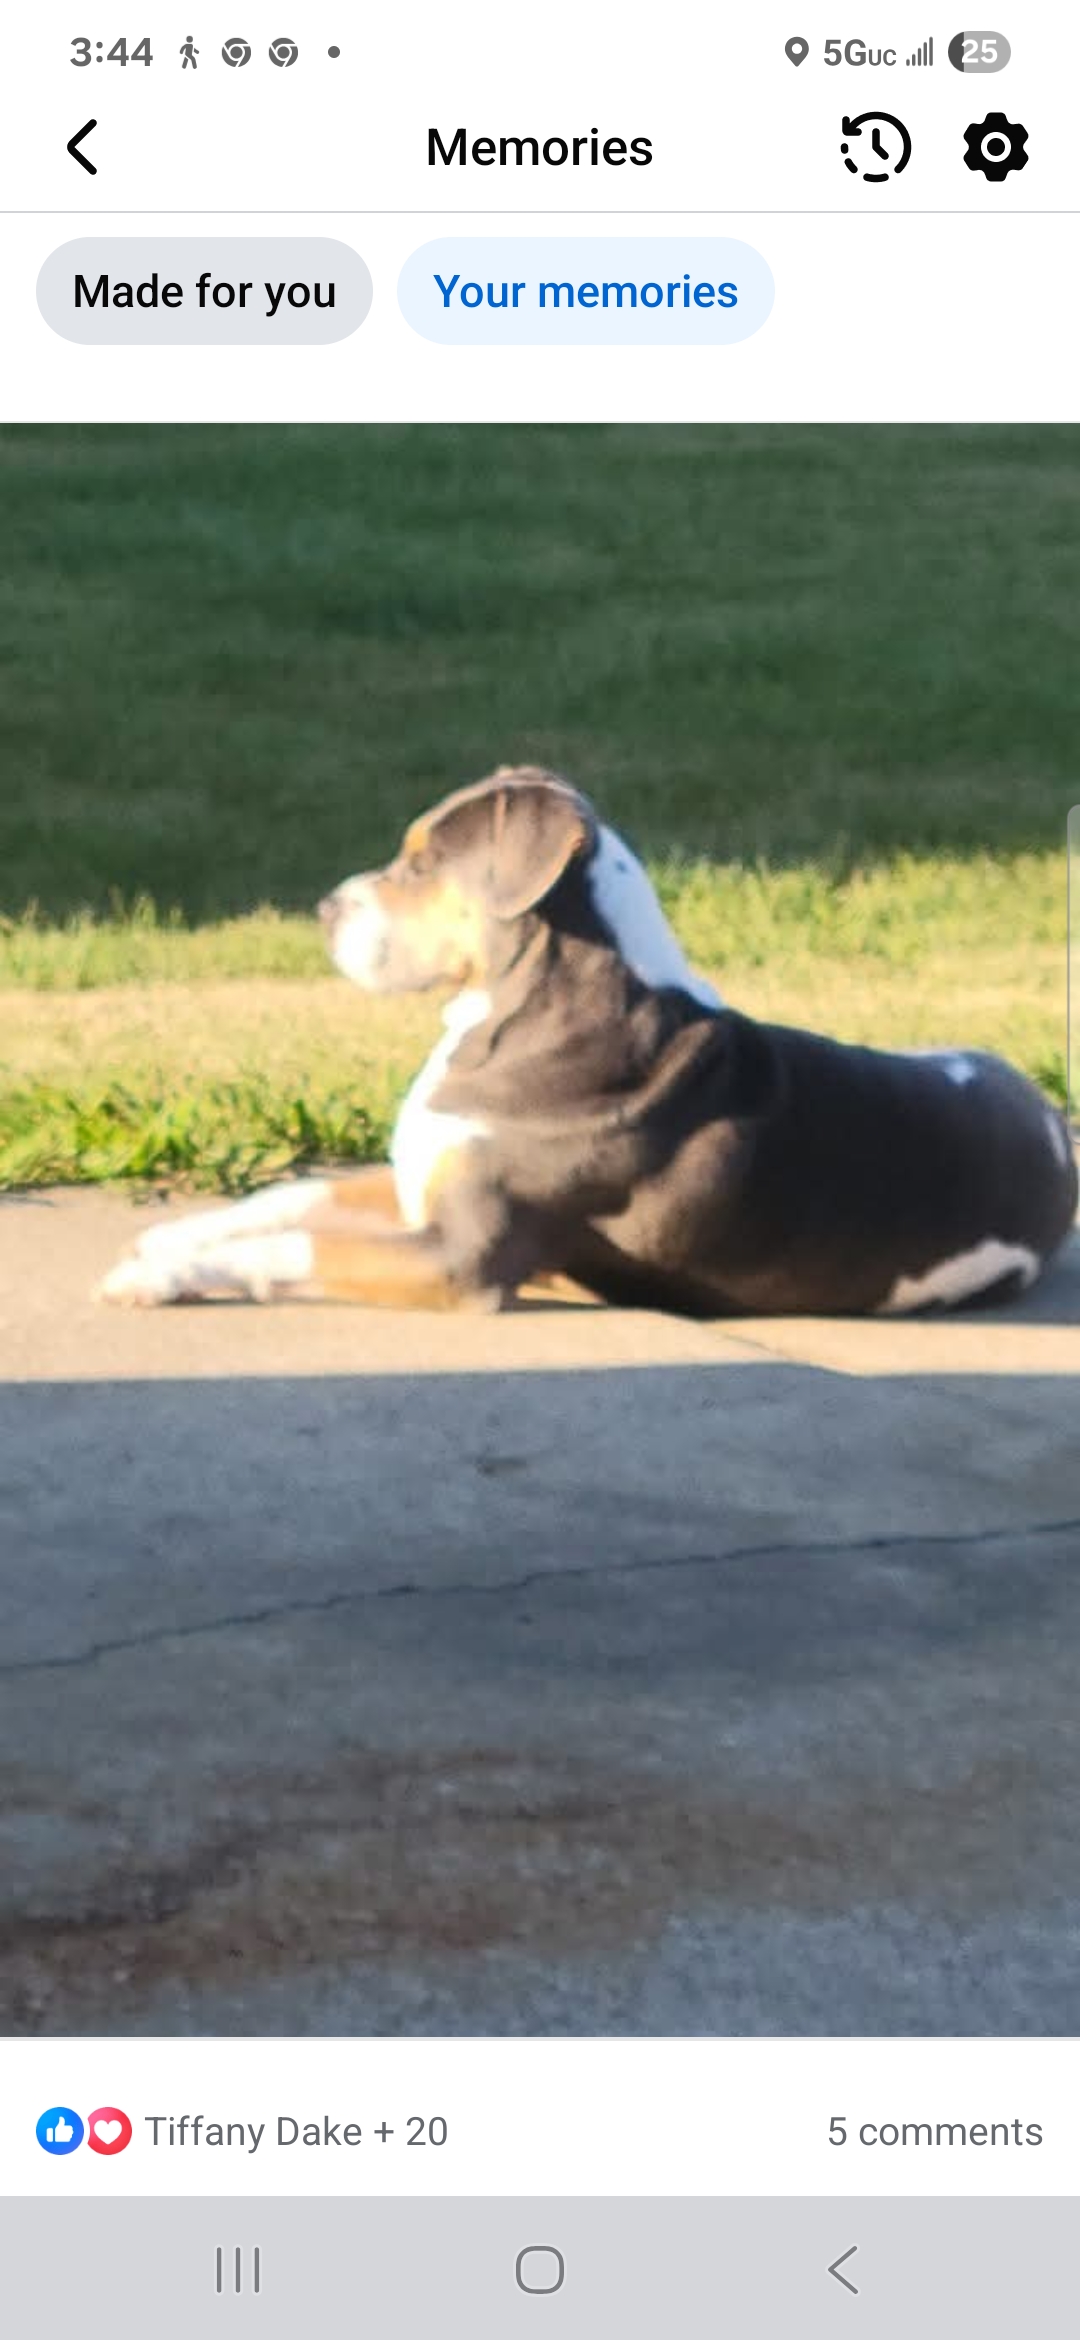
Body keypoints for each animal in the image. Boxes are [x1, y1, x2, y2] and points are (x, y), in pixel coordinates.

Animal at [99, 765, 1077, 1316]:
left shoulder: (458, 1259)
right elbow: (292, 1197)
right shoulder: (420, 1184)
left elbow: (295, 1246)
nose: (322, 908)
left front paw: (157, 1276)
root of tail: (1051, 1125)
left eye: (424, 862)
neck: (513, 1006)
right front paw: (168, 1237)